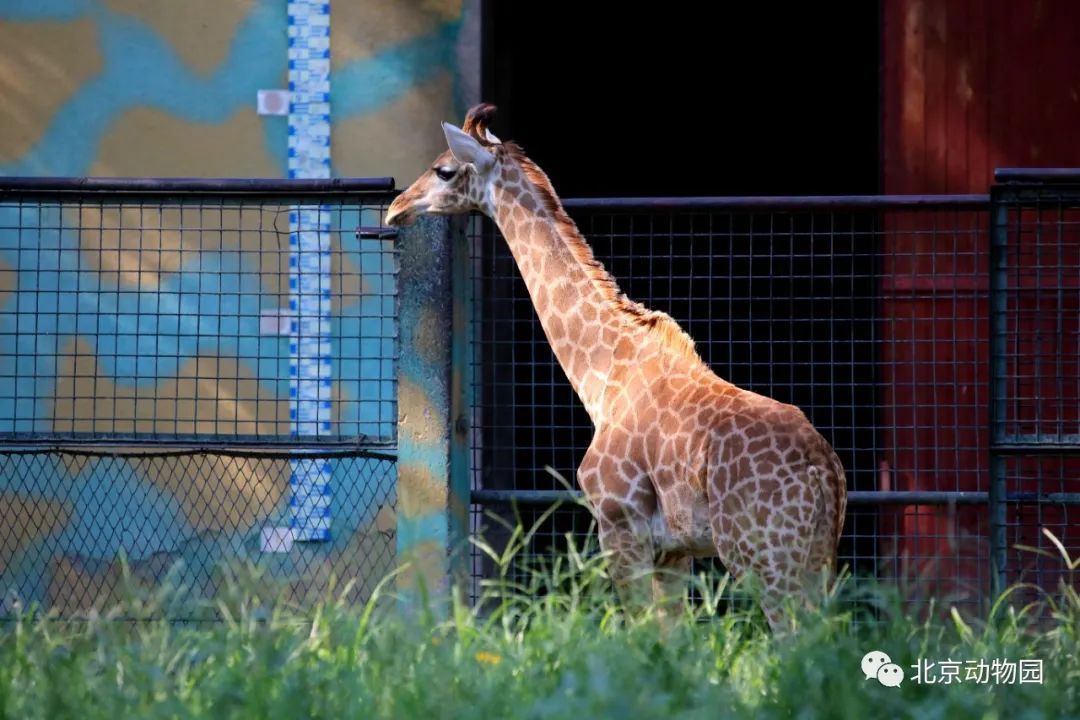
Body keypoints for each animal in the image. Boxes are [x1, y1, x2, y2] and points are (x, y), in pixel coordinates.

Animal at [384, 102, 846, 634]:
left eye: (444, 169)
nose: (395, 208)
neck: (603, 375)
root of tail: (825, 473)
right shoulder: (674, 550)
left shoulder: (619, 526)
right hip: (815, 561)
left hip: (765, 557)